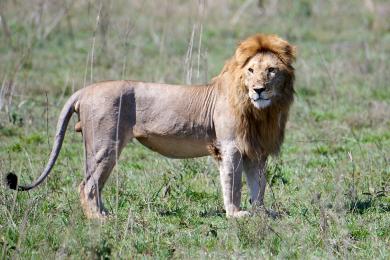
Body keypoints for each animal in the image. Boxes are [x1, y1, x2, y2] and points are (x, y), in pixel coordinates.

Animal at [6, 33, 296, 218]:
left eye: (271, 70)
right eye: (250, 71)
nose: (258, 89)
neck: (261, 112)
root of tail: (85, 90)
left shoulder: (255, 150)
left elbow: (259, 185)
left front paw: (261, 213)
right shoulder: (230, 147)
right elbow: (233, 184)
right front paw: (236, 214)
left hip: (99, 147)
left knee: (92, 183)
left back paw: (104, 213)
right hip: (106, 144)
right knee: (86, 185)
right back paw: (99, 219)